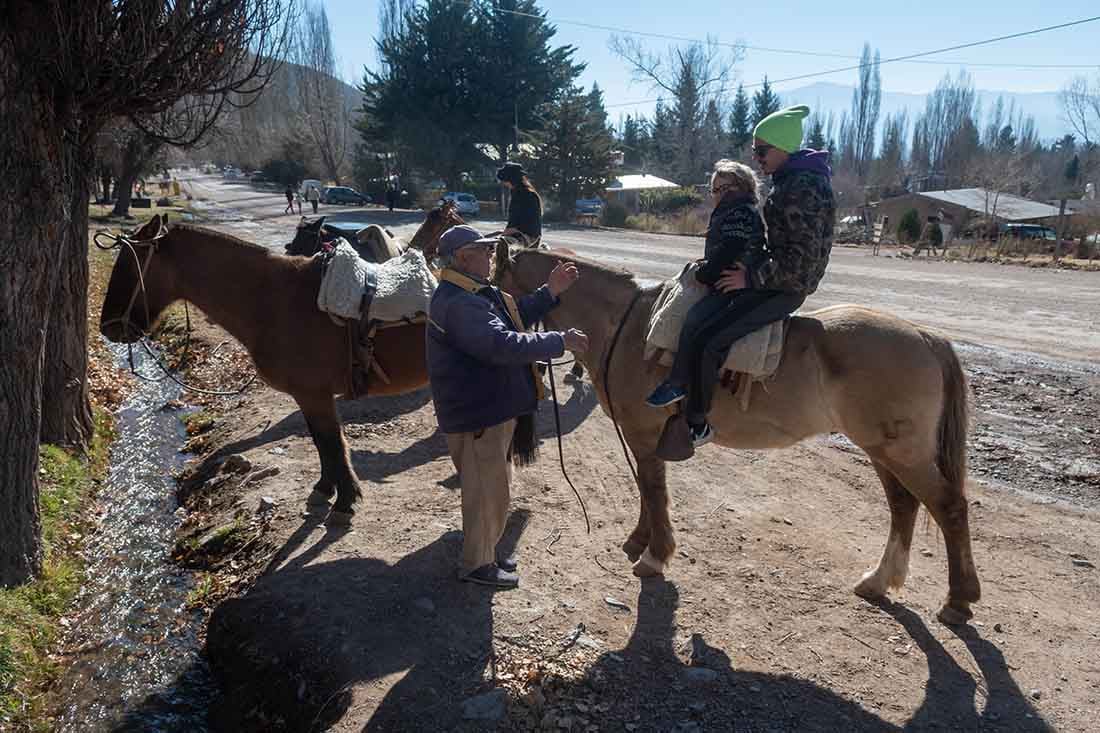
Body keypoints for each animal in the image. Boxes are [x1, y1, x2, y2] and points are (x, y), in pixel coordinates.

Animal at [102, 205, 459, 521]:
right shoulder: (309, 396)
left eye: (130, 266)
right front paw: (325, 489)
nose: (108, 327)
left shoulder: (314, 395)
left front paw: (344, 502)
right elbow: (321, 442)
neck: (275, 299)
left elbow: (332, 443)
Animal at [497, 245, 981, 620]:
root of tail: (925, 335)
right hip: (884, 451)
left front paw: (655, 555)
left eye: (494, 274)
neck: (628, 324)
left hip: (902, 452)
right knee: (904, 506)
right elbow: (647, 490)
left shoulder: (644, 432)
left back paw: (958, 601)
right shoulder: (643, 438)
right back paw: (879, 581)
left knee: (949, 508)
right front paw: (639, 540)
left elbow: (653, 490)